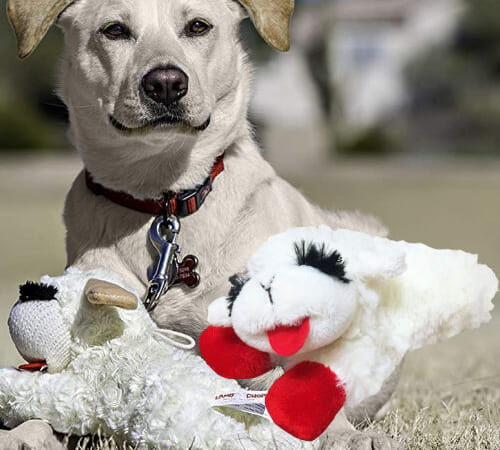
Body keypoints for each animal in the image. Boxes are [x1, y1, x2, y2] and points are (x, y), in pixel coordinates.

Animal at [2, 0, 402, 446]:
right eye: (114, 30)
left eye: (198, 26)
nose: (165, 83)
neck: (163, 198)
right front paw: (24, 431)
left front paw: (345, 435)